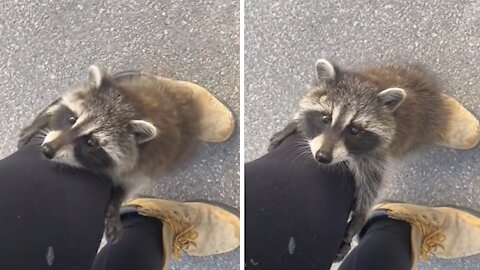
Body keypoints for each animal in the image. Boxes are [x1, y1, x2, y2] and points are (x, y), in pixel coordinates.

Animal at [17, 65, 202, 240]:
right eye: (71, 119)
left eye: (91, 143)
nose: (47, 150)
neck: (135, 104)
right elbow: (57, 105)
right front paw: (41, 121)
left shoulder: (148, 164)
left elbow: (131, 184)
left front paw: (117, 202)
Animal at [270, 58, 454, 260]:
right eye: (325, 118)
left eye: (354, 130)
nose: (323, 157)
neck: (366, 81)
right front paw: (294, 124)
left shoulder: (378, 154)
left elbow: (372, 182)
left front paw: (361, 213)